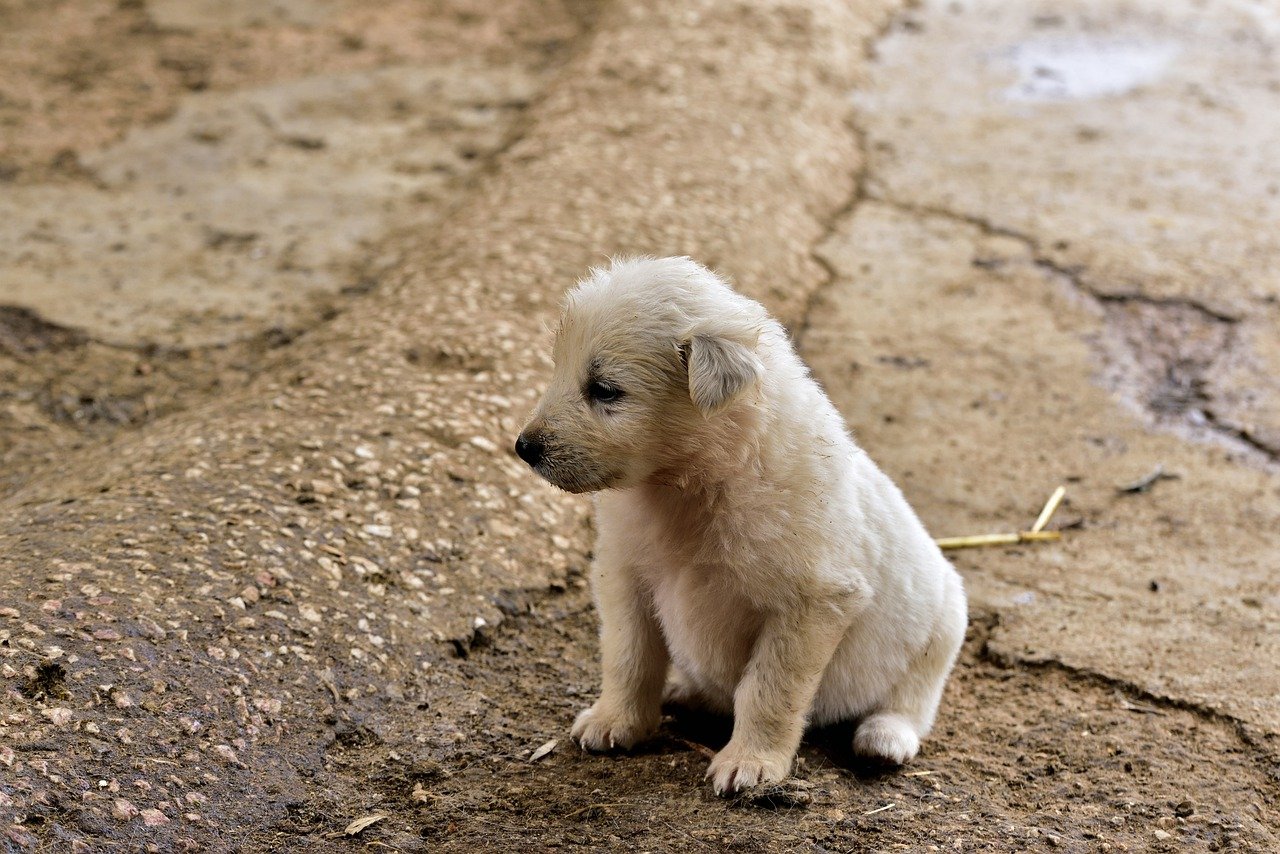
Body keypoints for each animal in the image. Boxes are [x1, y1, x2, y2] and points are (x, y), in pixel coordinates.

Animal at [514, 256, 962, 793]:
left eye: (604, 390)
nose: (524, 447)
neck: (693, 482)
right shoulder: (624, 572)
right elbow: (628, 655)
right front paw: (614, 721)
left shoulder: (813, 602)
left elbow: (768, 688)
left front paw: (751, 763)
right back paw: (685, 692)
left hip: (943, 626)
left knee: (912, 700)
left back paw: (884, 738)